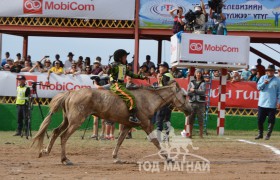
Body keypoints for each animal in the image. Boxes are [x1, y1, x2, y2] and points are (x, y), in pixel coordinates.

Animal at [31, 81, 192, 165]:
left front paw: (116, 157)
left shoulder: (127, 126)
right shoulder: (146, 125)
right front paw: (168, 157)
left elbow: (119, 141)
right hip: (75, 122)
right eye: (184, 95)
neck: (148, 99)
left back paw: (45, 151)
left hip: (67, 121)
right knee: (63, 136)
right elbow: (156, 141)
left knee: (55, 132)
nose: (190, 110)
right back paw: (65, 159)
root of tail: (70, 93)